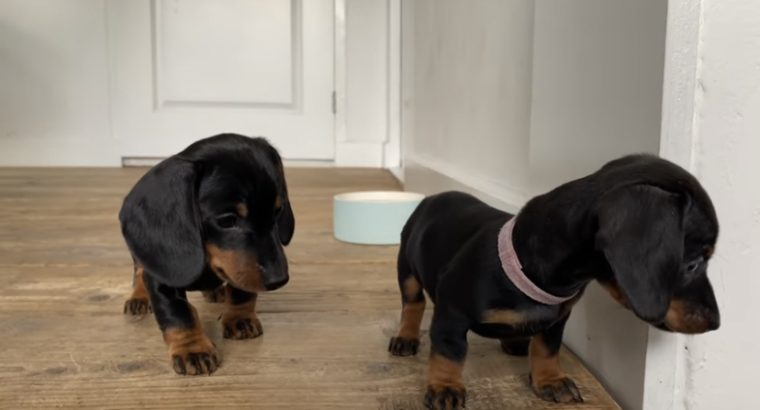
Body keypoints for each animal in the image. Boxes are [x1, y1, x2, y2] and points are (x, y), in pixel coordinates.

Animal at [121, 134, 294, 374]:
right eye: (227, 220)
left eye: (277, 211)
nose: (279, 279)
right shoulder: (161, 278)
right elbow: (178, 313)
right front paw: (192, 349)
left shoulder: (238, 270)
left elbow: (242, 292)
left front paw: (240, 318)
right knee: (139, 271)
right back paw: (138, 297)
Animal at [392, 154, 720, 406]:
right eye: (693, 264)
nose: (715, 323)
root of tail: (435, 197)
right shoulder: (452, 313)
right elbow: (449, 352)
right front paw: (445, 387)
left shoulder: (558, 318)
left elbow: (547, 348)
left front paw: (551, 381)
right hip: (406, 268)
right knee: (413, 304)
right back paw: (405, 338)